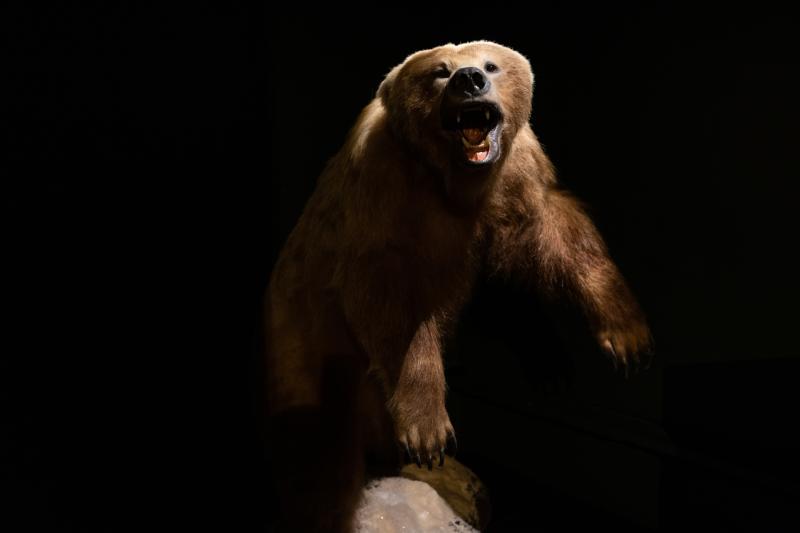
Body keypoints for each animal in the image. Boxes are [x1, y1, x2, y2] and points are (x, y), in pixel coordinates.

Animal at [265, 41, 652, 532]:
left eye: (491, 64)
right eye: (439, 71)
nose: (470, 79)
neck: (452, 181)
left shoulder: (517, 173)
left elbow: (551, 232)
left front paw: (621, 336)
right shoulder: (380, 189)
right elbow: (389, 301)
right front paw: (429, 430)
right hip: (303, 329)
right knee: (317, 442)